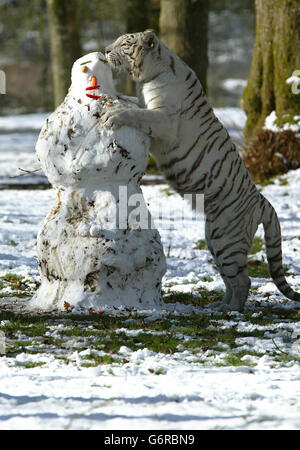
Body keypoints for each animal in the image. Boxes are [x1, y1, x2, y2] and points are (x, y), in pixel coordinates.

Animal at [102, 28, 298, 310]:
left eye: (125, 43)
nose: (105, 50)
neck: (149, 75)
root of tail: (262, 201)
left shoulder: (165, 121)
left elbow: (138, 113)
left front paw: (115, 114)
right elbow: (135, 106)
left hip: (226, 239)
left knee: (243, 280)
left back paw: (230, 310)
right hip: (215, 238)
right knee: (232, 279)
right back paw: (220, 305)